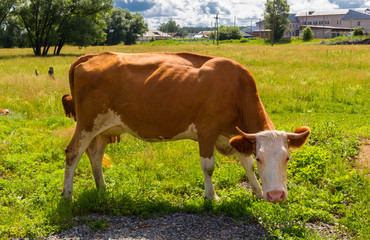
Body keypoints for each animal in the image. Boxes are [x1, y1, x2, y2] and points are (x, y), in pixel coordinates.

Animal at [62, 52, 310, 202]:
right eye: (261, 158)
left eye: (287, 158)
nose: (276, 195)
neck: (236, 89)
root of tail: (95, 55)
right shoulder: (207, 131)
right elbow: (209, 167)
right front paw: (212, 197)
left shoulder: (236, 134)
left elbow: (245, 163)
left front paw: (257, 191)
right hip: (87, 123)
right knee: (72, 153)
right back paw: (67, 194)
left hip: (104, 128)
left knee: (95, 155)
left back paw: (102, 188)